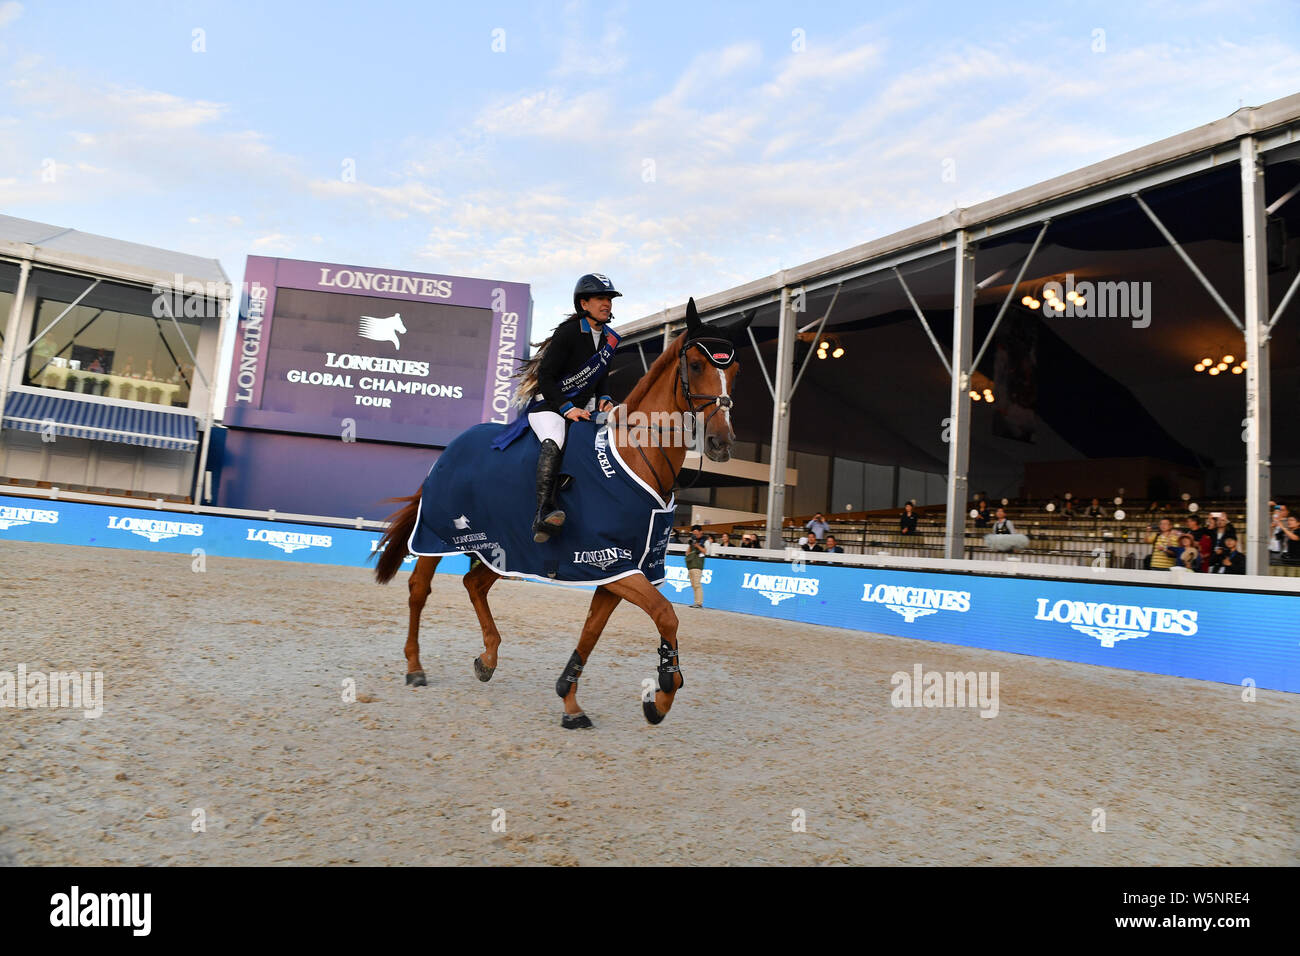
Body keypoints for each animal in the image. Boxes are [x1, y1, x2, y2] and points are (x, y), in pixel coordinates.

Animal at [371, 303, 754, 728]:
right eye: (697, 364)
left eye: (736, 370)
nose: (721, 443)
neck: (635, 455)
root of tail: (450, 449)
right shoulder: (607, 559)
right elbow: (666, 614)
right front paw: (665, 689)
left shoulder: (621, 568)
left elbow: (592, 631)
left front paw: (573, 702)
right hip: (437, 536)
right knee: (419, 590)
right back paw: (415, 667)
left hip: (504, 547)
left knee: (474, 583)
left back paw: (488, 659)